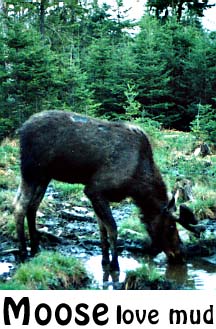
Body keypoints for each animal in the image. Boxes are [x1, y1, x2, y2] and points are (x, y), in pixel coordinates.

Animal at [13, 110, 202, 270]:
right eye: (170, 226)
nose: (181, 254)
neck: (137, 184)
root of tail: (21, 130)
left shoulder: (96, 195)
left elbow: (101, 229)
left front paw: (104, 261)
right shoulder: (95, 189)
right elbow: (112, 228)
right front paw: (115, 264)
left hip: (44, 177)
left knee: (31, 207)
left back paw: (35, 248)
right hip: (31, 172)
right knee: (19, 206)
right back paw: (23, 251)